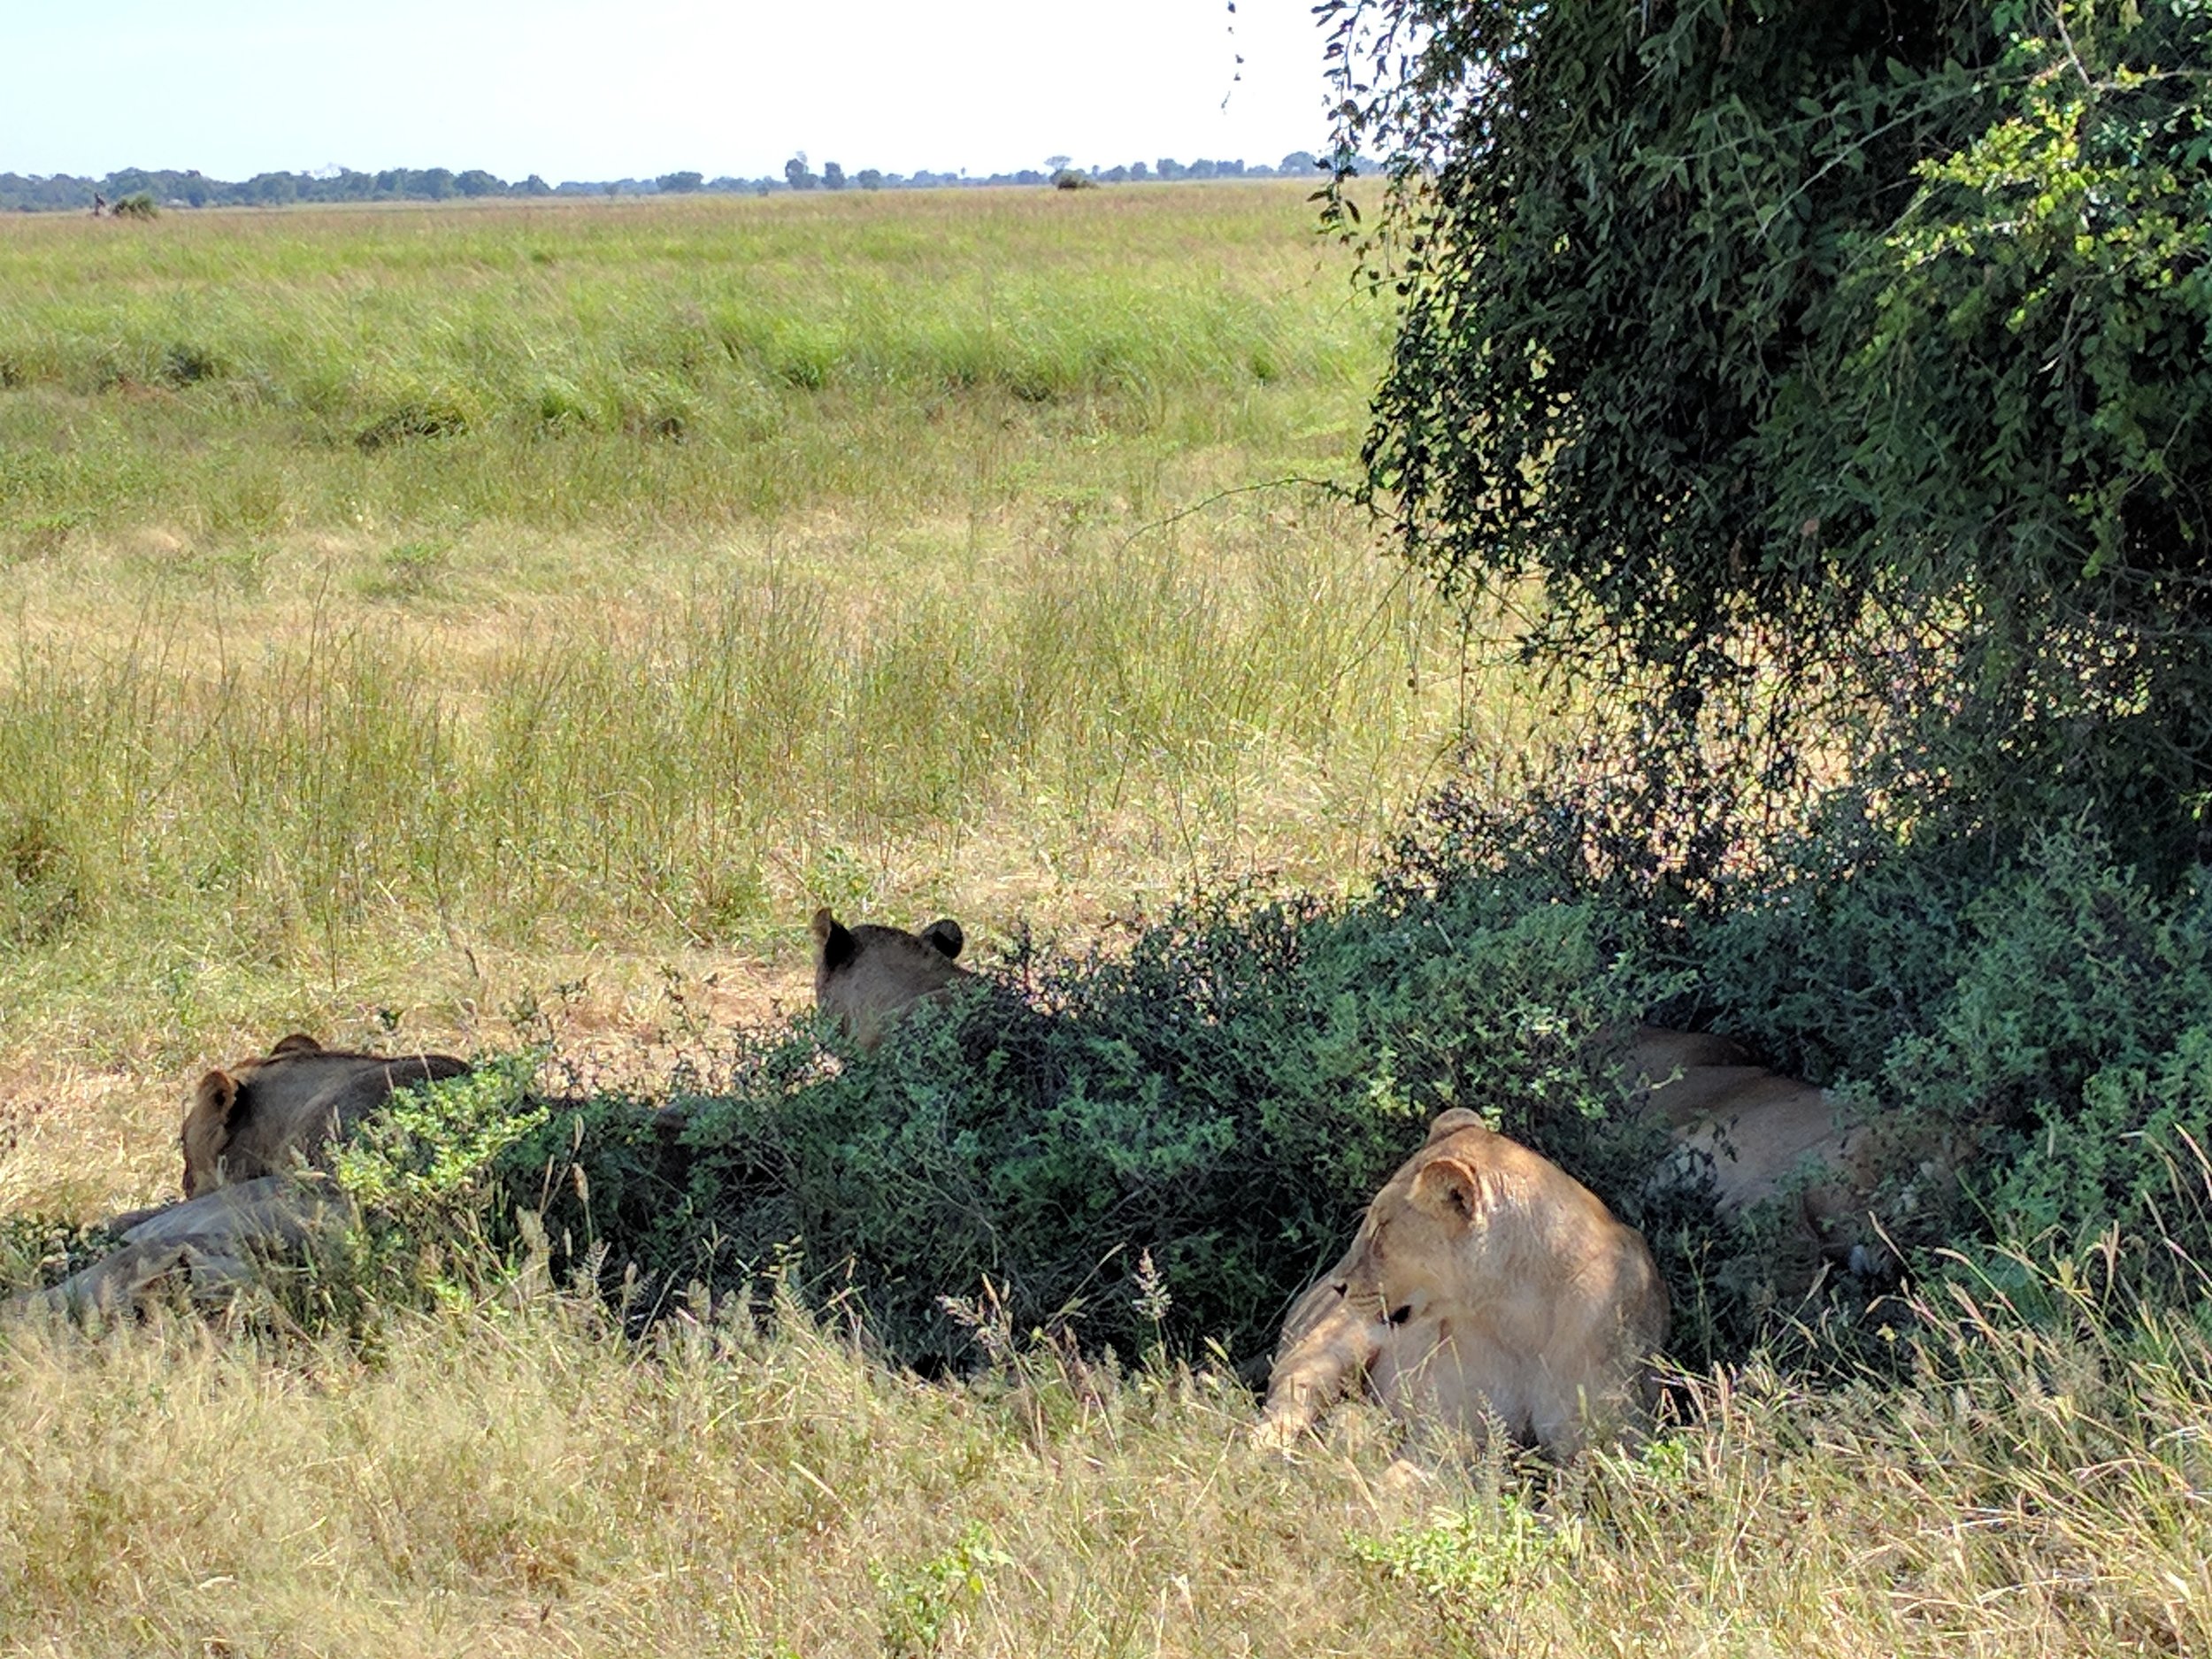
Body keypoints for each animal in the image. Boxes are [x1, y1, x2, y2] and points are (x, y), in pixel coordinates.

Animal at [1257, 1108, 1668, 1459]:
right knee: (1285, 1409)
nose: (1339, 1286)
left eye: (1380, 1229)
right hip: (1328, 1349)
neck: (1520, 1317)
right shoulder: (1452, 1426)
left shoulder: (1607, 1441)